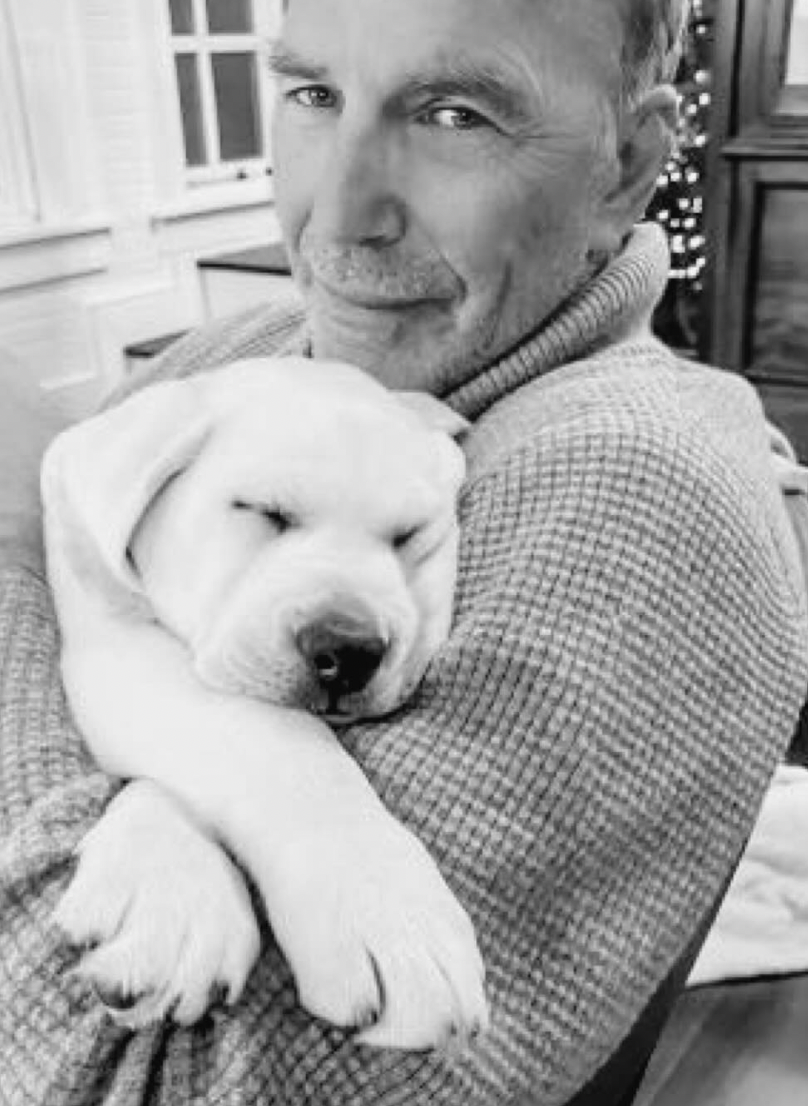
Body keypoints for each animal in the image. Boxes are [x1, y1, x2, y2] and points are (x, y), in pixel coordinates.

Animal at [41, 353, 490, 1044]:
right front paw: (384, 904)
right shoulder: (109, 631)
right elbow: (270, 742)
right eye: (261, 510)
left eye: (409, 537)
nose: (349, 649)